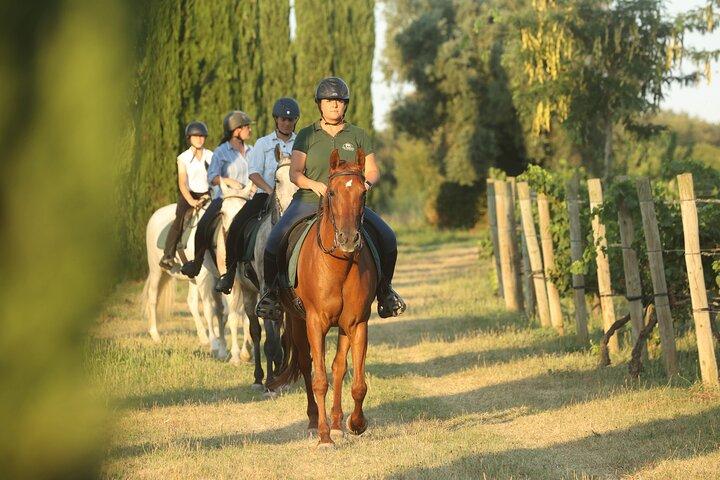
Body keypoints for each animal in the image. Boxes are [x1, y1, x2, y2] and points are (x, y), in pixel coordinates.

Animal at [142, 180, 255, 360]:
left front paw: (239, 349)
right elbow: (211, 309)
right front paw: (218, 346)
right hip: (156, 270)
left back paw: (203, 337)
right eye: (223, 212)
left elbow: (233, 312)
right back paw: (155, 335)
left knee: (192, 302)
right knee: (153, 298)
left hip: (193, 278)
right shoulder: (206, 278)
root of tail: (155, 214)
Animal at [232, 145, 298, 389]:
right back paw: (261, 377)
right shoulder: (265, 290)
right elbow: (268, 338)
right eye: (277, 180)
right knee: (256, 331)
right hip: (248, 293)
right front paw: (272, 375)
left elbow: (284, 334)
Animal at [269, 148, 377, 447]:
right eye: (331, 192)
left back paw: (338, 422)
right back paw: (314, 422)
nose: (348, 239)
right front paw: (324, 437)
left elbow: (356, 381)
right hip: (296, 320)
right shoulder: (315, 322)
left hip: (341, 327)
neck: (338, 265)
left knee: (338, 367)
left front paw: (355, 424)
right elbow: (319, 379)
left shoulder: (356, 323)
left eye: (363, 193)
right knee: (307, 365)